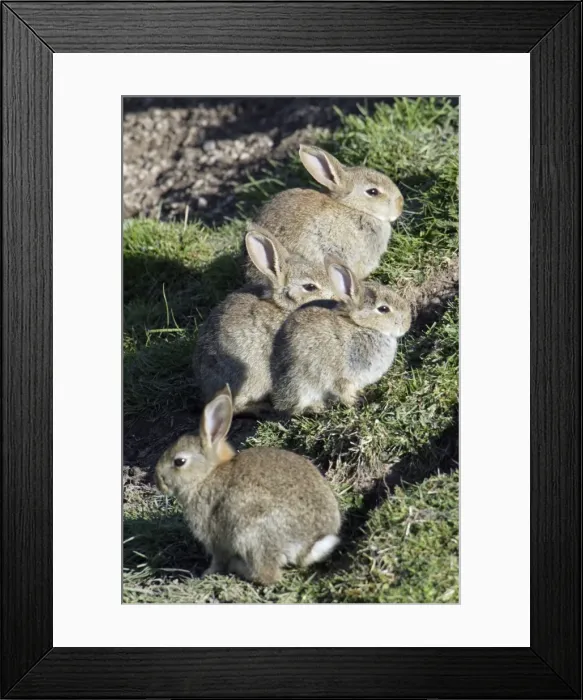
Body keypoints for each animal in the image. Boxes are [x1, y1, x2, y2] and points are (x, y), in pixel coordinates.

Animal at [155, 386, 341, 586]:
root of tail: (309, 544)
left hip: (251, 534)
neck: (206, 474)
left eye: (179, 462)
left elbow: (218, 559)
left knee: (267, 575)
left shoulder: (215, 537)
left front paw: (207, 573)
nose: (158, 481)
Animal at [271, 261, 411, 415]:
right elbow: (344, 392)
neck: (360, 325)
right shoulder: (342, 377)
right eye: (384, 309)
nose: (407, 324)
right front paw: (356, 403)